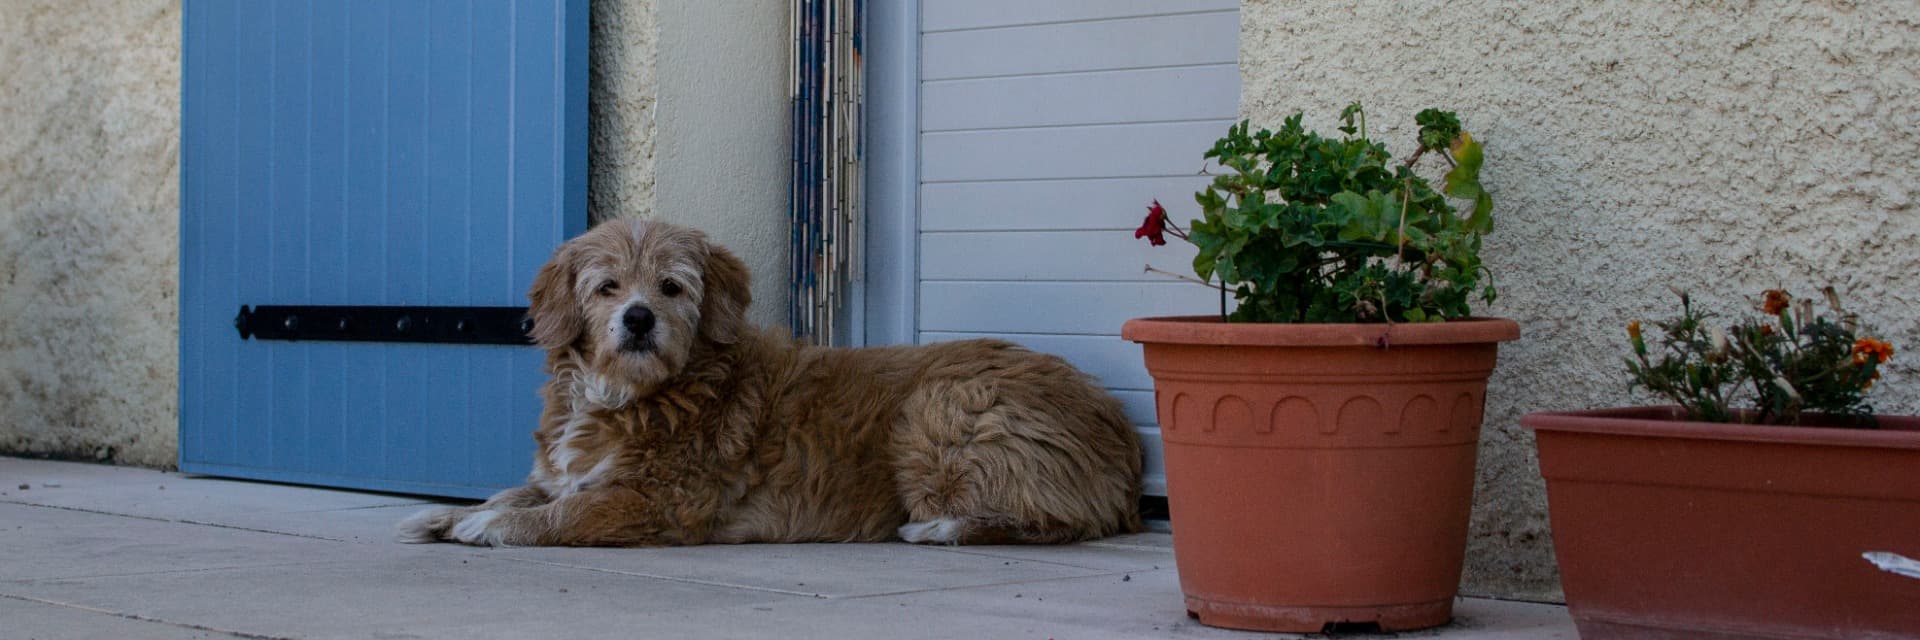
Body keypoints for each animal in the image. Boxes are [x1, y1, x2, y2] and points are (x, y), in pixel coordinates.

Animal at [393, 218, 1136, 541]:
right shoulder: (563, 474)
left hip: (941, 410)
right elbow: (520, 491)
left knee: (1053, 522)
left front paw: (492, 526)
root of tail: (1121, 432)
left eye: (671, 287)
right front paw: (449, 512)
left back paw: (941, 529)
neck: (628, 397)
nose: (638, 318)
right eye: (607, 288)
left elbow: (563, 512)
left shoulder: (661, 502)